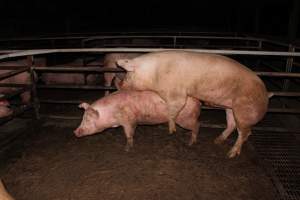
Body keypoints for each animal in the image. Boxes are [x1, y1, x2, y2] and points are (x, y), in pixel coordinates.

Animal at [116, 50, 270, 158]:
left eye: (127, 75)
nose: (119, 85)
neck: (154, 74)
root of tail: (266, 94)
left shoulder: (176, 93)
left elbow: (174, 109)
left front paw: (171, 130)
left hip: (244, 110)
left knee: (245, 132)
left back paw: (230, 154)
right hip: (230, 107)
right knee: (232, 124)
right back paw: (217, 141)